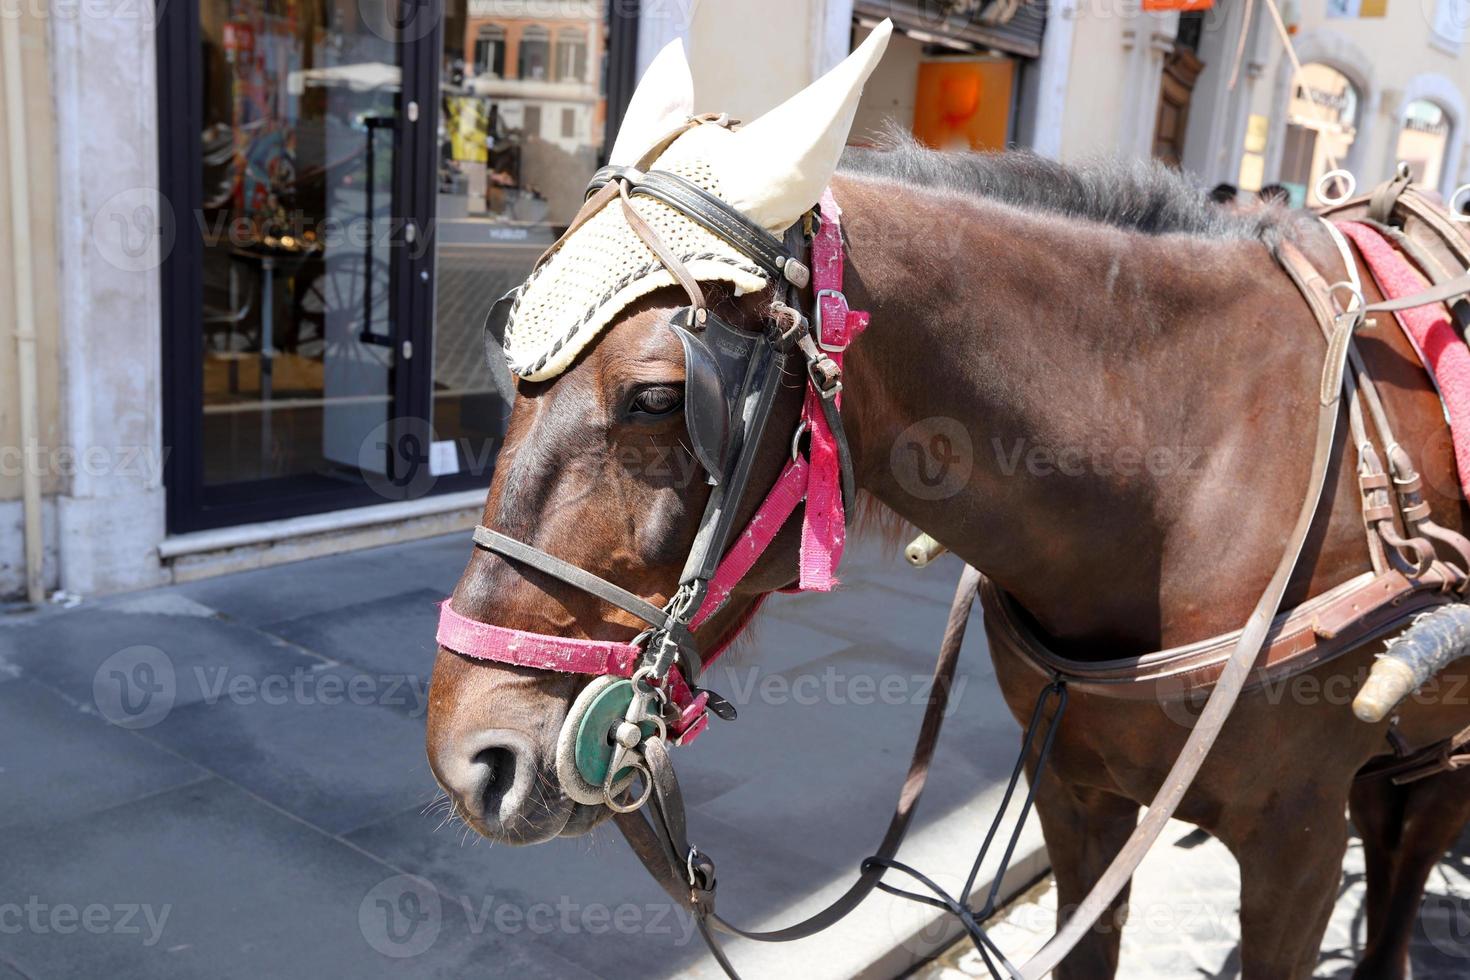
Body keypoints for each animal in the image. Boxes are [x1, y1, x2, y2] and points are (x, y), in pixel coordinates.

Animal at [420, 47, 1470, 980]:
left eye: (655, 396)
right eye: (510, 347)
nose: (473, 757)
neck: (1191, 463)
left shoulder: (1295, 837)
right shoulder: (1076, 798)